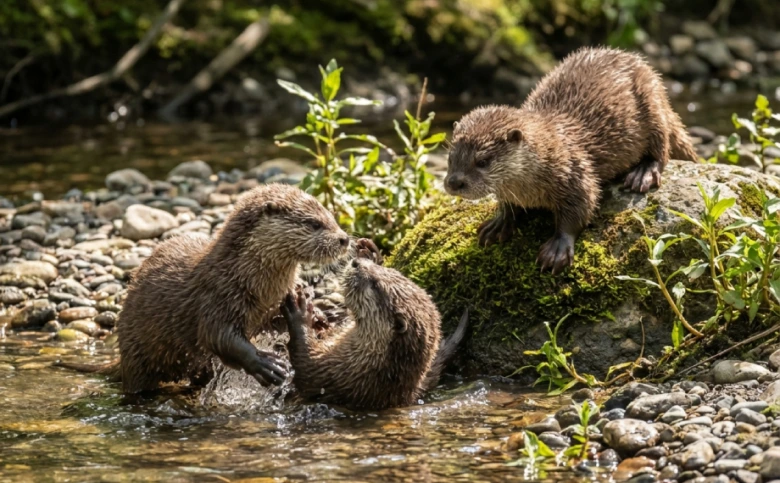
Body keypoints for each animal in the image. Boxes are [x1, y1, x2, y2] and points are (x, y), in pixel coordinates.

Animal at [56, 184, 350, 393]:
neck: (248, 277)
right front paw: (266, 364)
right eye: (313, 223)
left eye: (332, 217)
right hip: (138, 358)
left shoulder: (270, 305)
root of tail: (121, 355)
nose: (345, 239)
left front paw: (320, 317)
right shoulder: (217, 296)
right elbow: (217, 336)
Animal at [281, 246, 469, 410]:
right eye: (387, 270)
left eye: (375, 284)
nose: (356, 262)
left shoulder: (331, 373)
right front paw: (370, 252)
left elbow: (304, 366)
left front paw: (301, 312)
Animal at [444, 46, 698, 274]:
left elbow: (580, 209)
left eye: (483, 161)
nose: (454, 182)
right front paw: (499, 224)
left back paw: (642, 173)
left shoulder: (575, 172)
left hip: (652, 103)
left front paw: (557, 249)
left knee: (661, 148)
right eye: (450, 157)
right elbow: (507, 206)